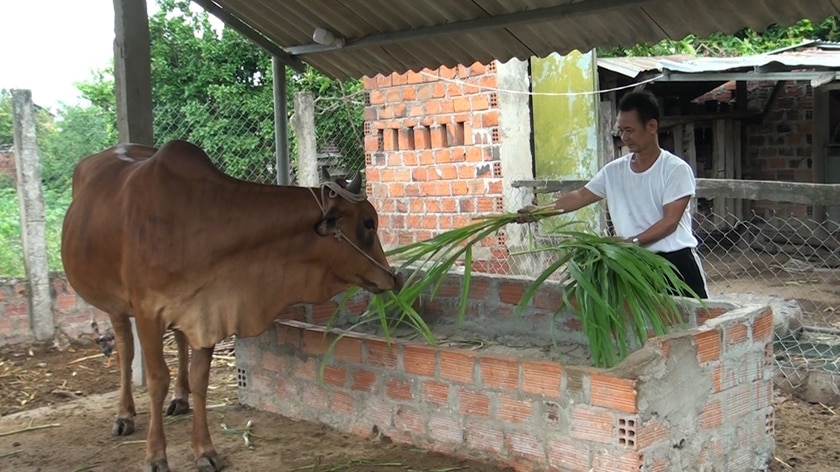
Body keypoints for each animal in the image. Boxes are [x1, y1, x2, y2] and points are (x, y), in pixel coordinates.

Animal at [61, 141, 398, 472]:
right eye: (369, 223)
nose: (392, 276)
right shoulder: (147, 312)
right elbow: (157, 381)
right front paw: (155, 456)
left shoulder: (207, 309)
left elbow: (200, 379)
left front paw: (204, 450)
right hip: (115, 303)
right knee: (125, 349)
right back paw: (125, 415)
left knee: (179, 342)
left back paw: (180, 399)